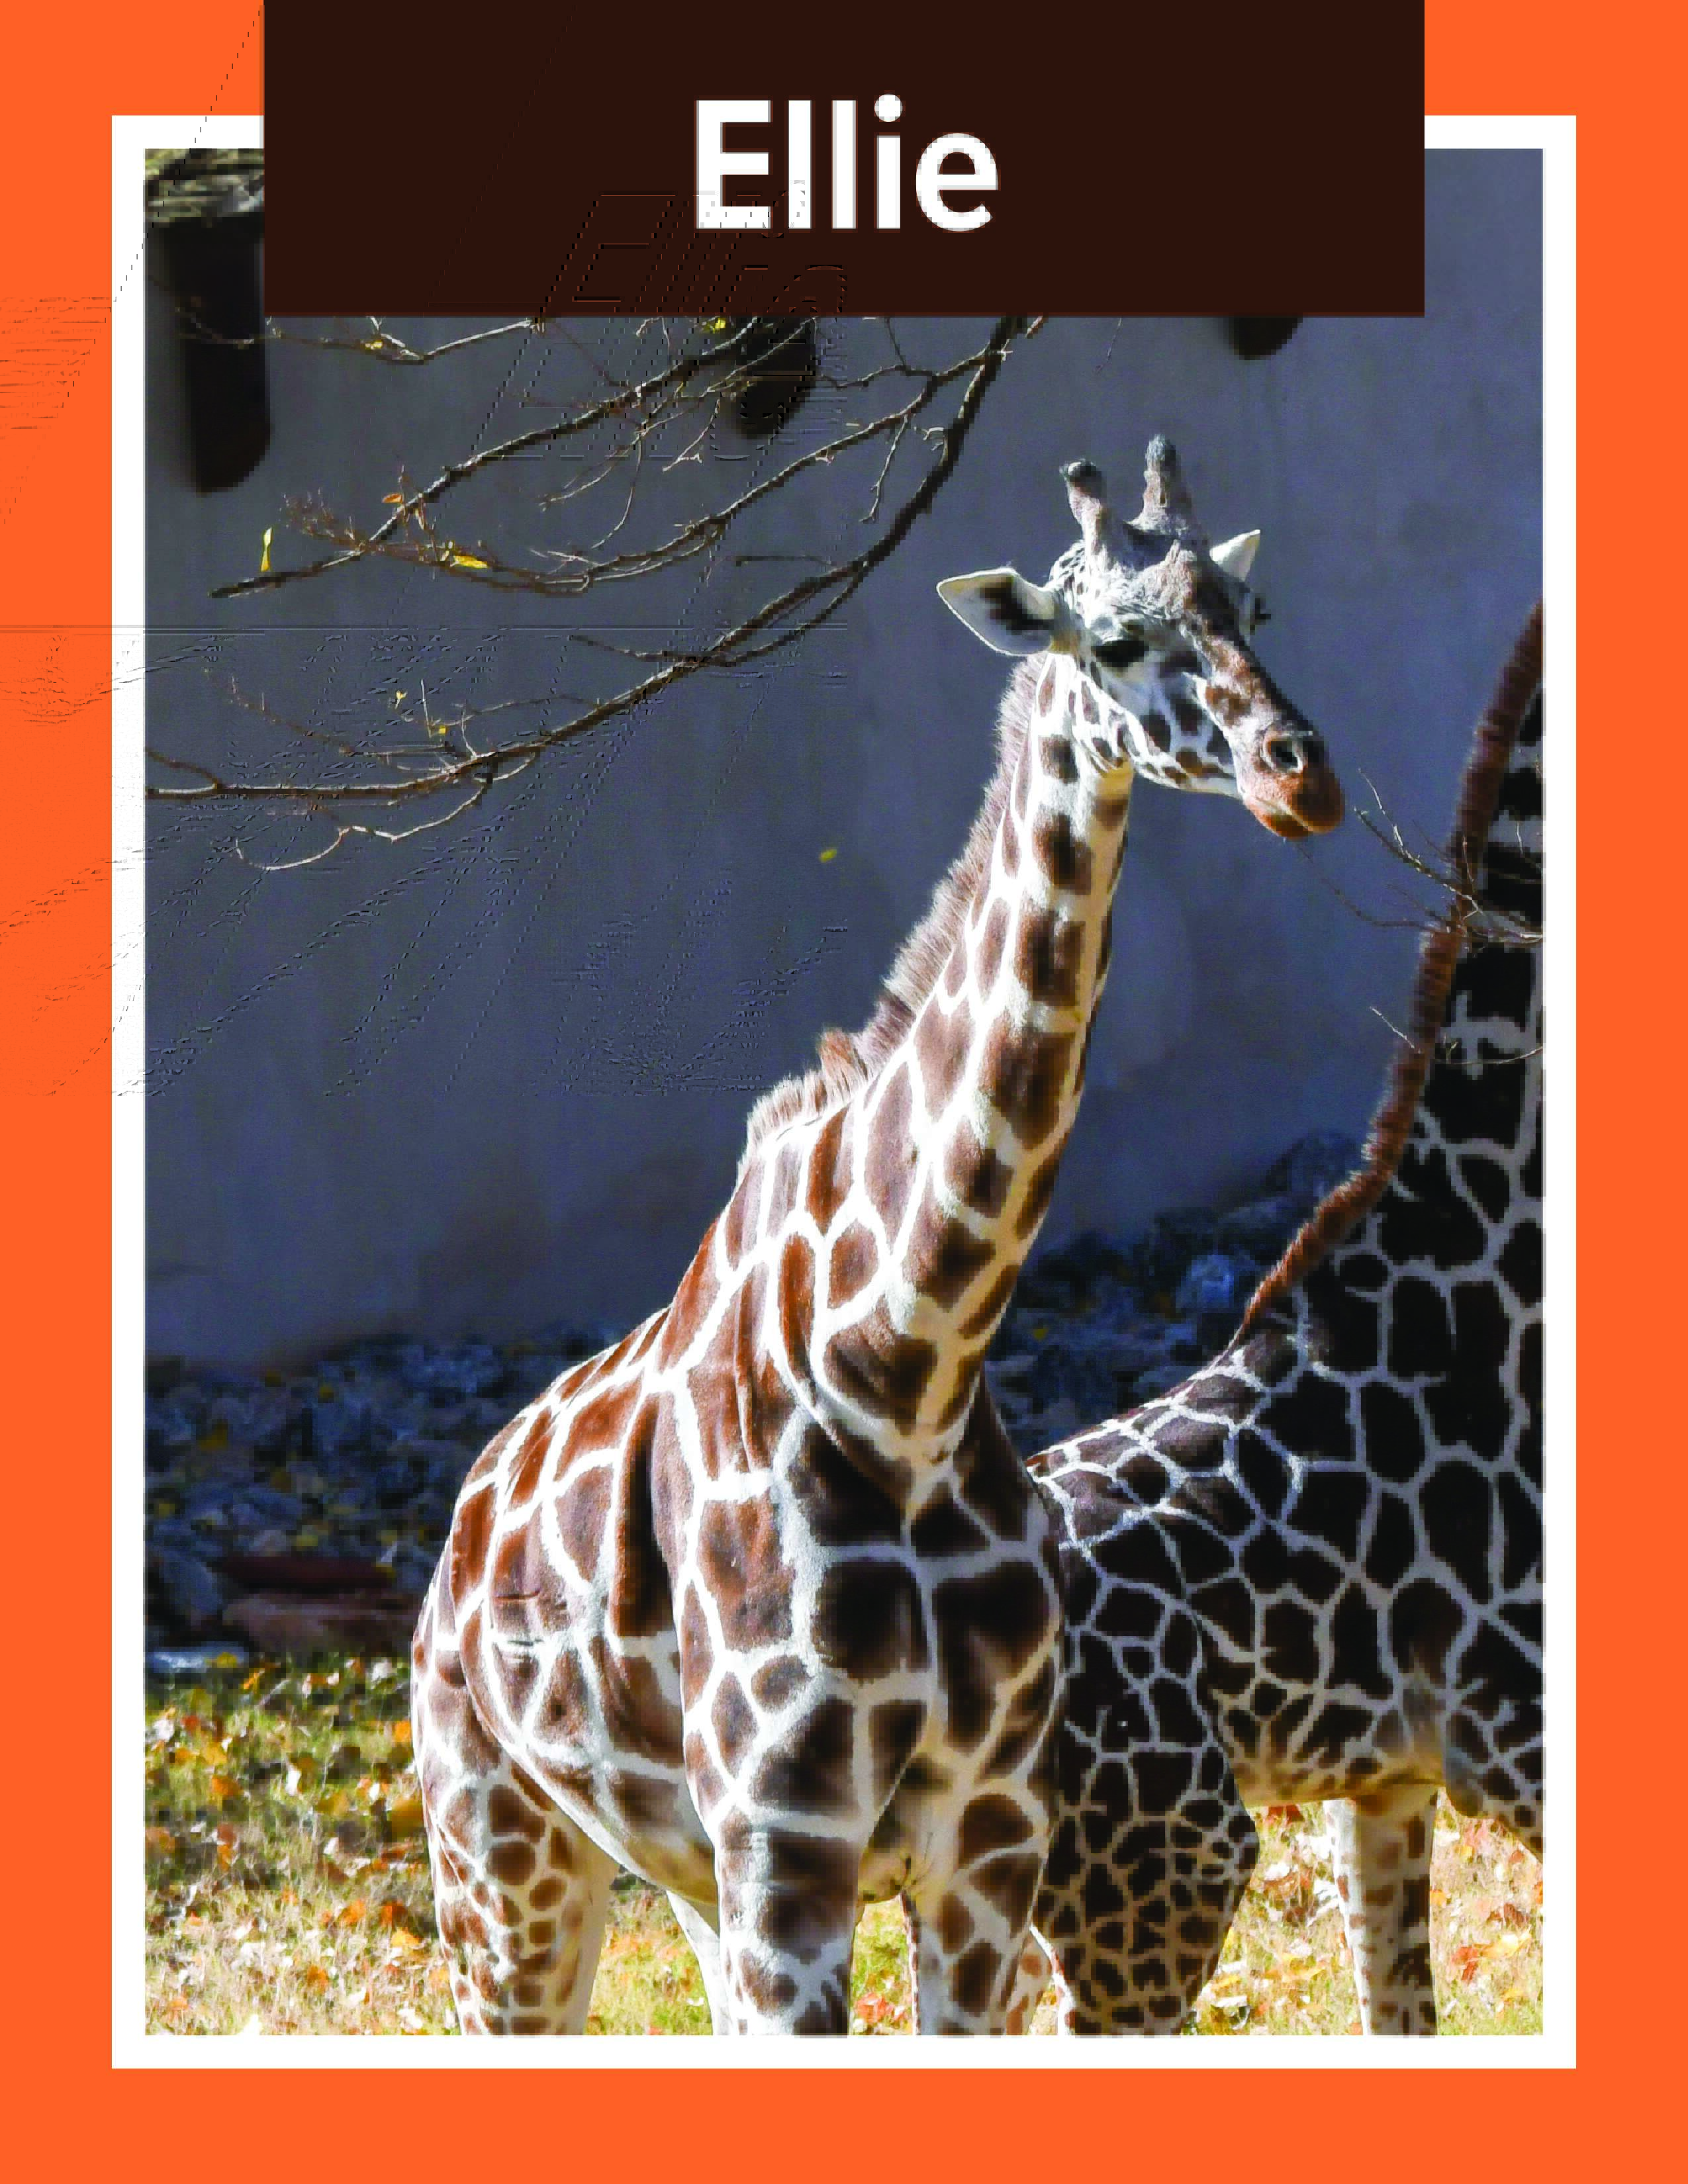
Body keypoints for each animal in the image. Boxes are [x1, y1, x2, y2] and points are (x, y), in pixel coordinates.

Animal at [410, 440, 1345, 2035]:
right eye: (1117, 640)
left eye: (1254, 609)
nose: (1304, 776)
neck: (904, 1371)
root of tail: (453, 1545)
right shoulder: (792, 1844)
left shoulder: (986, 1840)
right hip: (503, 1868)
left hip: (678, 1884)